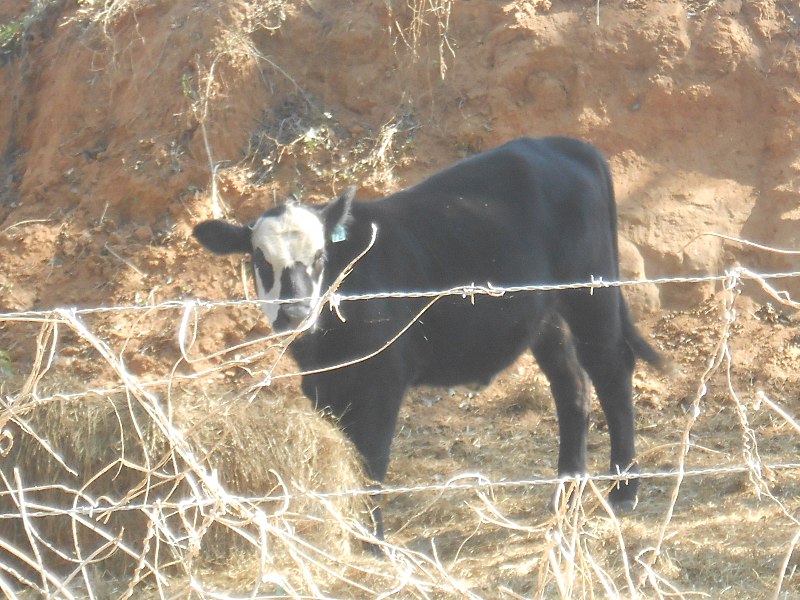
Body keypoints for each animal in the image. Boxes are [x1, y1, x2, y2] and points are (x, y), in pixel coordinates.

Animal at [194, 136, 664, 544]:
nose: (294, 313)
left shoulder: (382, 379)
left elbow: (371, 461)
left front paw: (373, 543)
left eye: (320, 257)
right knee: (572, 388)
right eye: (260, 260)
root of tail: (564, 143)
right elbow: (347, 458)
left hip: (590, 296)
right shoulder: (323, 385)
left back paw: (623, 489)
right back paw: (565, 494)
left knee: (612, 372)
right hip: (546, 316)